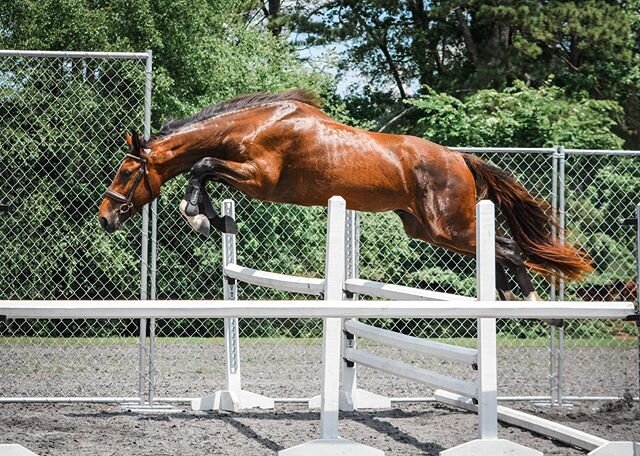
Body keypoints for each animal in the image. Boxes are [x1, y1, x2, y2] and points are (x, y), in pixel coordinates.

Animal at [97, 90, 592, 302]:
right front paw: (214, 218)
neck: (253, 125)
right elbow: (205, 174)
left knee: (508, 247)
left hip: (449, 225)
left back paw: (525, 300)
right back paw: (507, 296)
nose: (104, 216)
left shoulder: (260, 178)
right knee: (500, 249)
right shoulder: (247, 178)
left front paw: (200, 217)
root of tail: (459, 158)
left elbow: (201, 167)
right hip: (429, 230)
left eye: (127, 171)